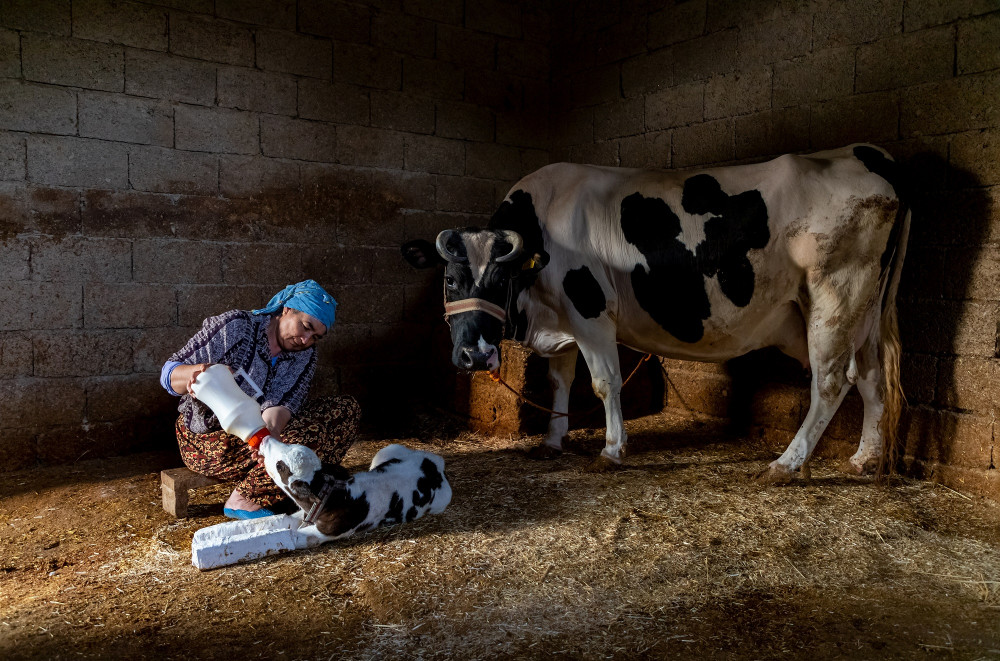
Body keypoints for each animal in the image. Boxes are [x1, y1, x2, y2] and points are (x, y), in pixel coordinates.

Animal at [402, 143, 912, 480]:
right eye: (450, 280)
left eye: (500, 279)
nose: (473, 356)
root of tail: (864, 152)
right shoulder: (562, 320)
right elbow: (559, 381)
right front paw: (552, 440)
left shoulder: (591, 315)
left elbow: (604, 383)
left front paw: (611, 449)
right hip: (864, 310)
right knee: (869, 376)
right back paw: (865, 458)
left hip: (835, 296)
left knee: (830, 382)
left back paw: (787, 464)